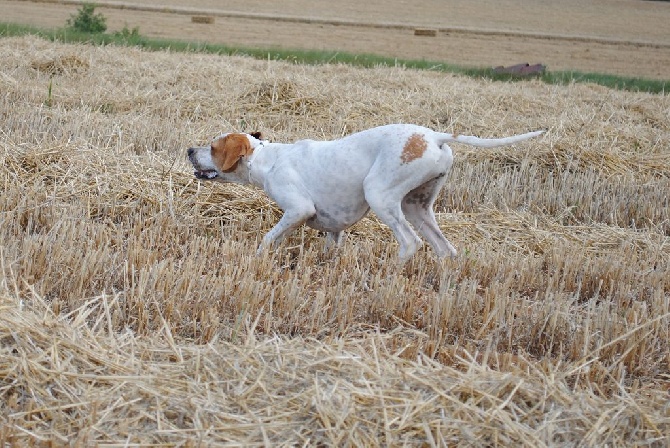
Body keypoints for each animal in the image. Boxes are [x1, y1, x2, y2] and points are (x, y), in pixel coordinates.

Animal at [186, 123, 544, 262]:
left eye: (213, 147)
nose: (189, 150)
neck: (267, 159)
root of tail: (433, 136)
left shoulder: (298, 209)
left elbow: (267, 238)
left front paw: (258, 257)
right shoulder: (334, 229)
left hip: (381, 196)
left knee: (410, 243)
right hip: (417, 207)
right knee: (445, 248)